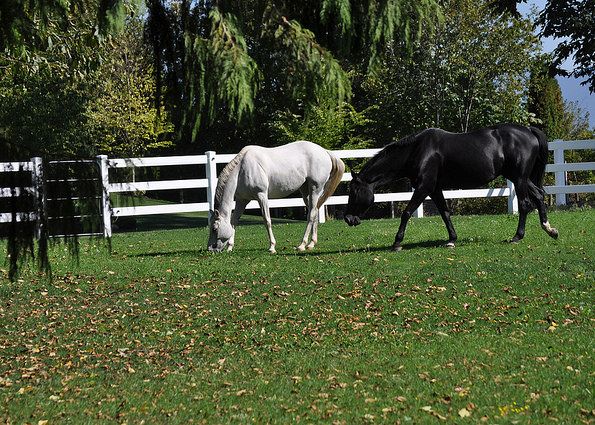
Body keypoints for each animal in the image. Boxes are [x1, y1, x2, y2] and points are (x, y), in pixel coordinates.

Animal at [207, 141, 344, 252]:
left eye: (214, 229)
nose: (210, 249)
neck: (242, 169)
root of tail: (325, 152)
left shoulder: (261, 196)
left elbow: (267, 220)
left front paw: (272, 247)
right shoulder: (242, 200)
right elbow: (234, 221)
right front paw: (230, 247)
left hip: (316, 189)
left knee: (311, 215)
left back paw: (302, 245)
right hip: (306, 191)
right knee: (314, 211)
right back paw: (311, 244)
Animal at [344, 122, 560, 248]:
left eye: (353, 192)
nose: (348, 219)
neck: (418, 150)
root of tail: (528, 130)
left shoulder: (424, 187)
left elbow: (407, 212)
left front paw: (397, 242)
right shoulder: (434, 189)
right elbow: (445, 213)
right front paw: (452, 239)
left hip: (519, 178)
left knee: (524, 204)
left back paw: (517, 237)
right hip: (521, 178)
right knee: (538, 196)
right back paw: (550, 230)